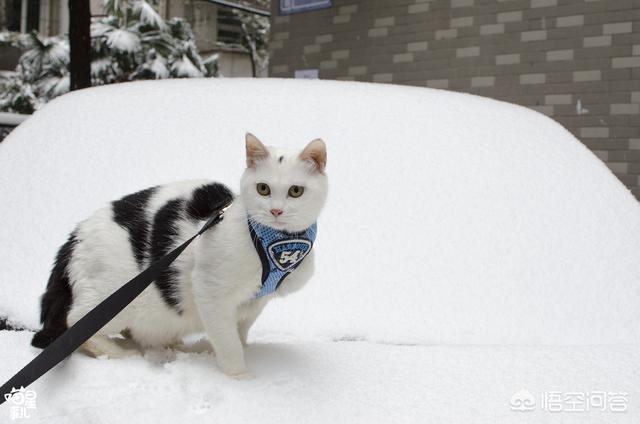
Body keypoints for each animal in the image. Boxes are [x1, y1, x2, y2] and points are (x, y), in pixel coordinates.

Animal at [31, 133, 328, 378]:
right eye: (263, 188)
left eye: (296, 191)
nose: (276, 211)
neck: (275, 242)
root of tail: (74, 238)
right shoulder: (211, 290)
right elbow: (228, 340)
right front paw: (238, 375)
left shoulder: (255, 300)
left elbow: (239, 330)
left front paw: (221, 347)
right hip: (114, 300)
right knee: (74, 325)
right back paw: (122, 352)